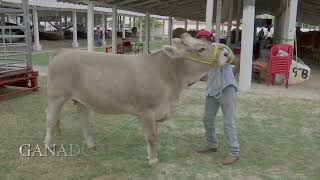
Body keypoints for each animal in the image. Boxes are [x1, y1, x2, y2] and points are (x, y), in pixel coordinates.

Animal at [44, 32, 235, 166]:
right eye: (201, 48)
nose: (226, 54)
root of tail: (63, 51)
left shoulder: (157, 110)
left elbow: (153, 135)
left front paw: (150, 155)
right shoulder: (147, 110)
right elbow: (151, 136)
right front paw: (153, 160)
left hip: (82, 98)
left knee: (83, 120)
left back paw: (91, 145)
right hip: (56, 96)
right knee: (51, 120)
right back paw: (48, 147)